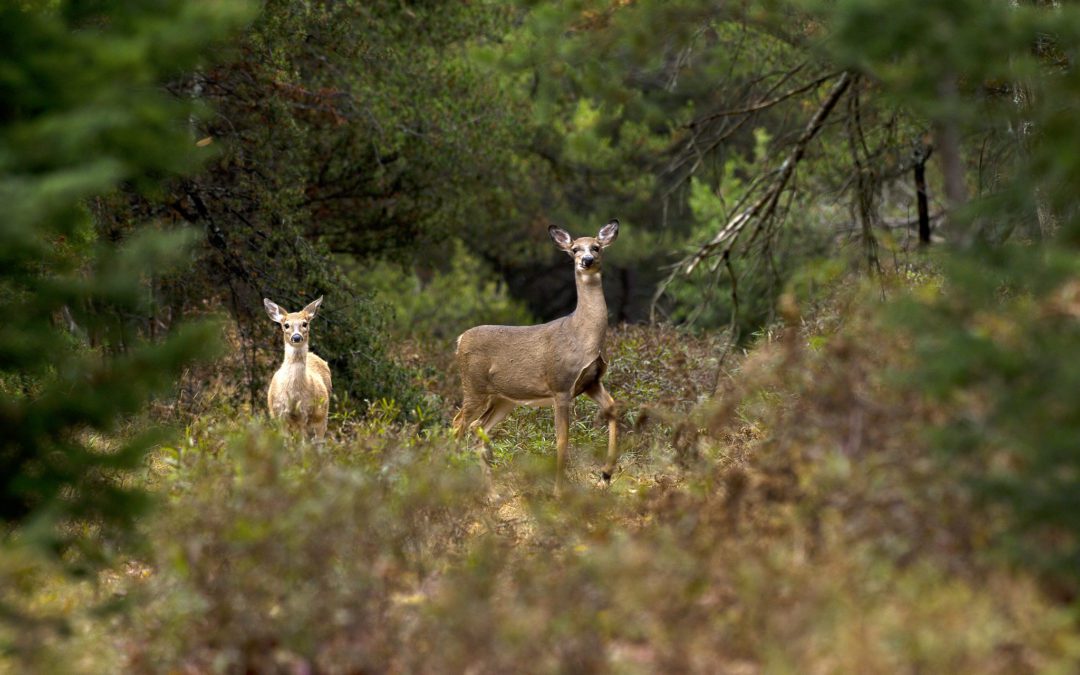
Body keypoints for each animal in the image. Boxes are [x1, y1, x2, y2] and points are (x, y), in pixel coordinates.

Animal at [263, 295, 330, 442]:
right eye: (286, 325)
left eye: (305, 323)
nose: (297, 337)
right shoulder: (279, 414)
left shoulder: (304, 414)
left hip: (322, 416)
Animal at [453, 217, 622, 494]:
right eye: (575, 249)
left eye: (597, 247)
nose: (586, 260)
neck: (583, 335)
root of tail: (459, 340)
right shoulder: (560, 385)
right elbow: (562, 440)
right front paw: (558, 492)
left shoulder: (591, 381)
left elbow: (612, 408)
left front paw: (605, 475)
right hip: (473, 387)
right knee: (458, 424)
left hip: (504, 398)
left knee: (477, 427)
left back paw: (492, 493)